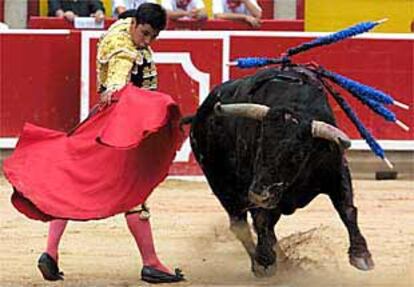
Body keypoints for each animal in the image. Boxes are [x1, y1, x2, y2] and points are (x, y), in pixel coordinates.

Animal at [183, 66, 374, 278]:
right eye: (259, 145)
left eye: (298, 156)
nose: (259, 195)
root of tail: (199, 115)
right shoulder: (251, 184)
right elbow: (260, 219)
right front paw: (265, 260)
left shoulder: (336, 171)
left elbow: (347, 209)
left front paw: (361, 255)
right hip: (222, 185)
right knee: (240, 224)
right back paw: (261, 263)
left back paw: (284, 261)